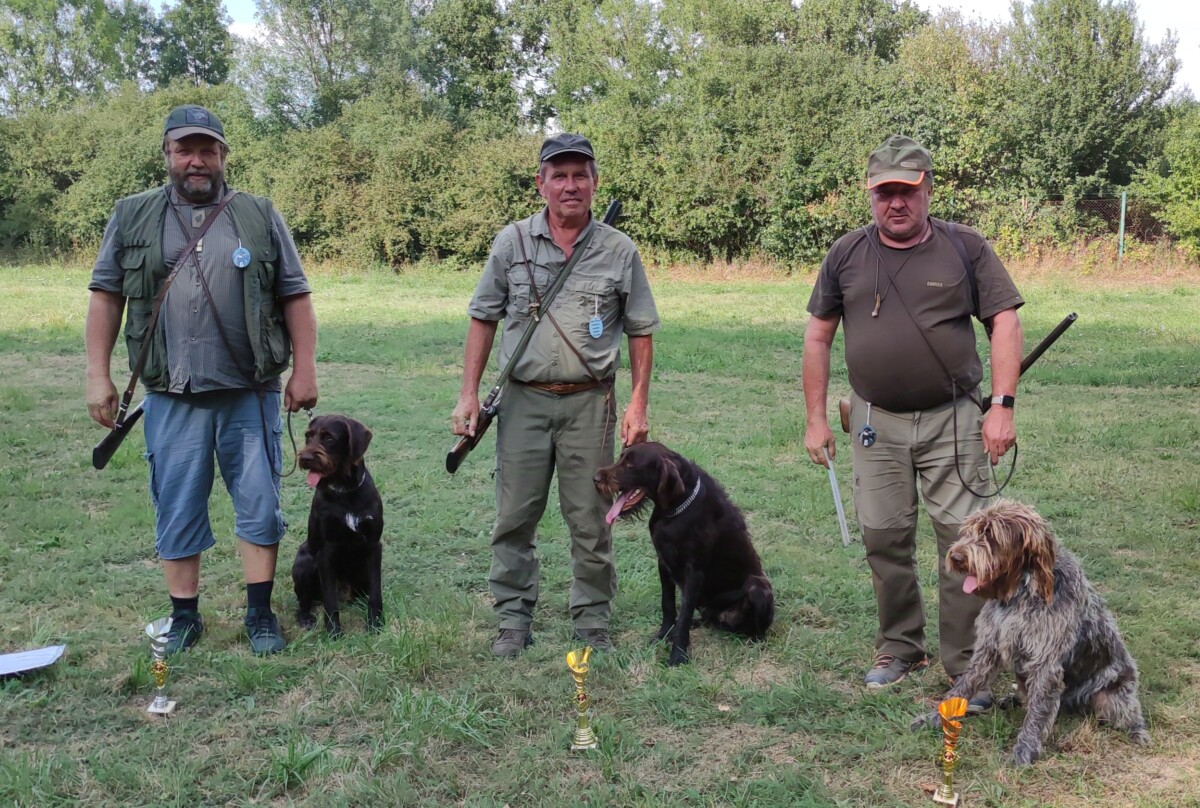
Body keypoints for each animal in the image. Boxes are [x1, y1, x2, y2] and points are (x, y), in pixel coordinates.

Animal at [291, 415, 381, 638]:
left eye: (329, 437)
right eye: (308, 436)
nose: (304, 458)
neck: (345, 490)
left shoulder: (374, 545)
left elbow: (376, 591)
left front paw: (375, 623)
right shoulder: (326, 550)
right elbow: (329, 600)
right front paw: (334, 631)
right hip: (304, 563)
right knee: (304, 601)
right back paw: (305, 618)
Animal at [592, 441, 777, 662]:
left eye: (630, 464)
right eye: (621, 457)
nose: (595, 479)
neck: (676, 509)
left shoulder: (694, 573)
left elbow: (684, 615)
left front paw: (678, 655)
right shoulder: (663, 563)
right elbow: (668, 604)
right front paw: (664, 635)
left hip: (758, 586)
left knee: (757, 628)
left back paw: (756, 640)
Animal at [907, 494, 1152, 763]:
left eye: (991, 536)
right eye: (969, 531)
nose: (957, 557)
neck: (1020, 591)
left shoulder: (1046, 664)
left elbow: (1036, 715)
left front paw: (1024, 750)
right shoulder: (988, 649)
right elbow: (961, 688)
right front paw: (933, 717)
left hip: (1111, 696)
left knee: (1129, 713)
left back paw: (1138, 732)